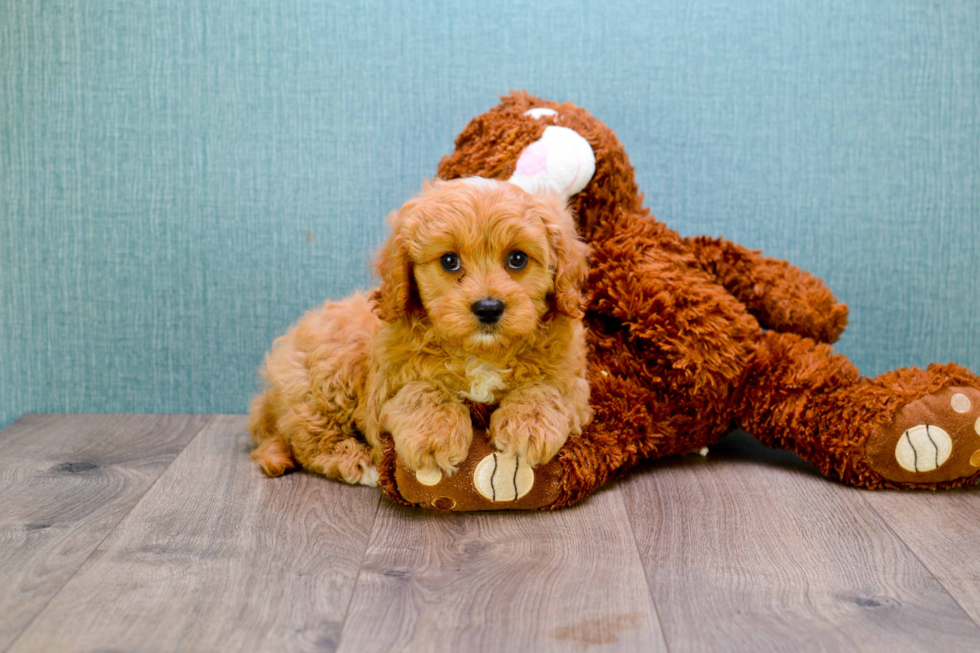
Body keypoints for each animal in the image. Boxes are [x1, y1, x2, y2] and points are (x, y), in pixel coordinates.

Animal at [249, 178, 592, 484]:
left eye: (518, 258)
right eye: (449, 261)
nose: (488, 308)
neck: (480, 354)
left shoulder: (573, 382)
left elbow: (545, 389)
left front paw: (529, 427)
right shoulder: (383, 390)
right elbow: (420, 390)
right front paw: (436, 434)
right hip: (330, 374)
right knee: (310, 438)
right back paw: (358, 464)